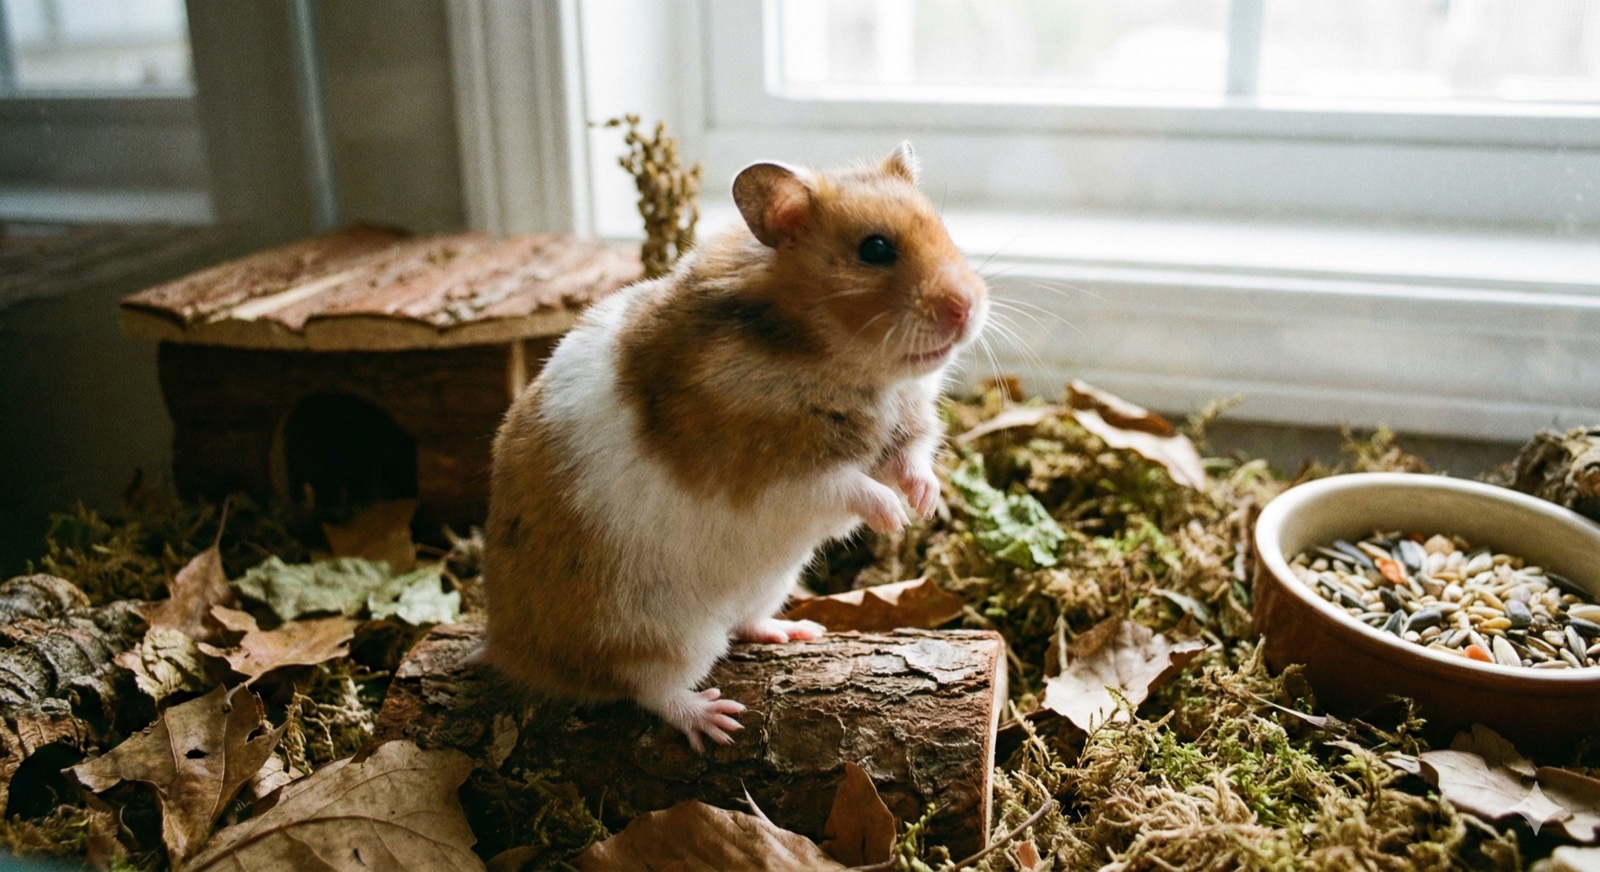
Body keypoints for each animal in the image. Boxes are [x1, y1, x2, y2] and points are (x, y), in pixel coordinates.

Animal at [482, 142, 989, 752]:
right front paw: (895, 517)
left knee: (744, 623)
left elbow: (911, 458)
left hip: (768, 585)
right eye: (875, 250)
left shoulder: (906, 425)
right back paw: (716, 720)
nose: (968, 307)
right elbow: (847, 484)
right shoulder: (774, 476)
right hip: (657, 635)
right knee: (648, 688)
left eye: (943, 228)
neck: (843, 362)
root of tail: (507, 646)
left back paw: (796, 632)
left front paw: (927, 503)